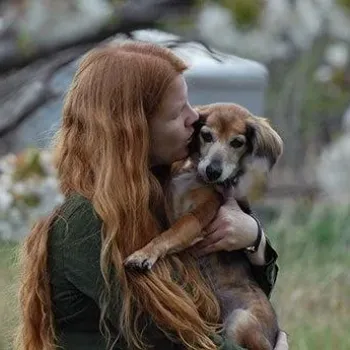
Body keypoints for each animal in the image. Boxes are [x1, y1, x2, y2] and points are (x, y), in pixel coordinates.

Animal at [124, 102, 284, 348]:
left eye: (237, 142)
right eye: (206, 135)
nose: (213, 171)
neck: (193, 174)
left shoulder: (197, 218)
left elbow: (169, 234)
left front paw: (144, 254)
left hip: (240, 321)